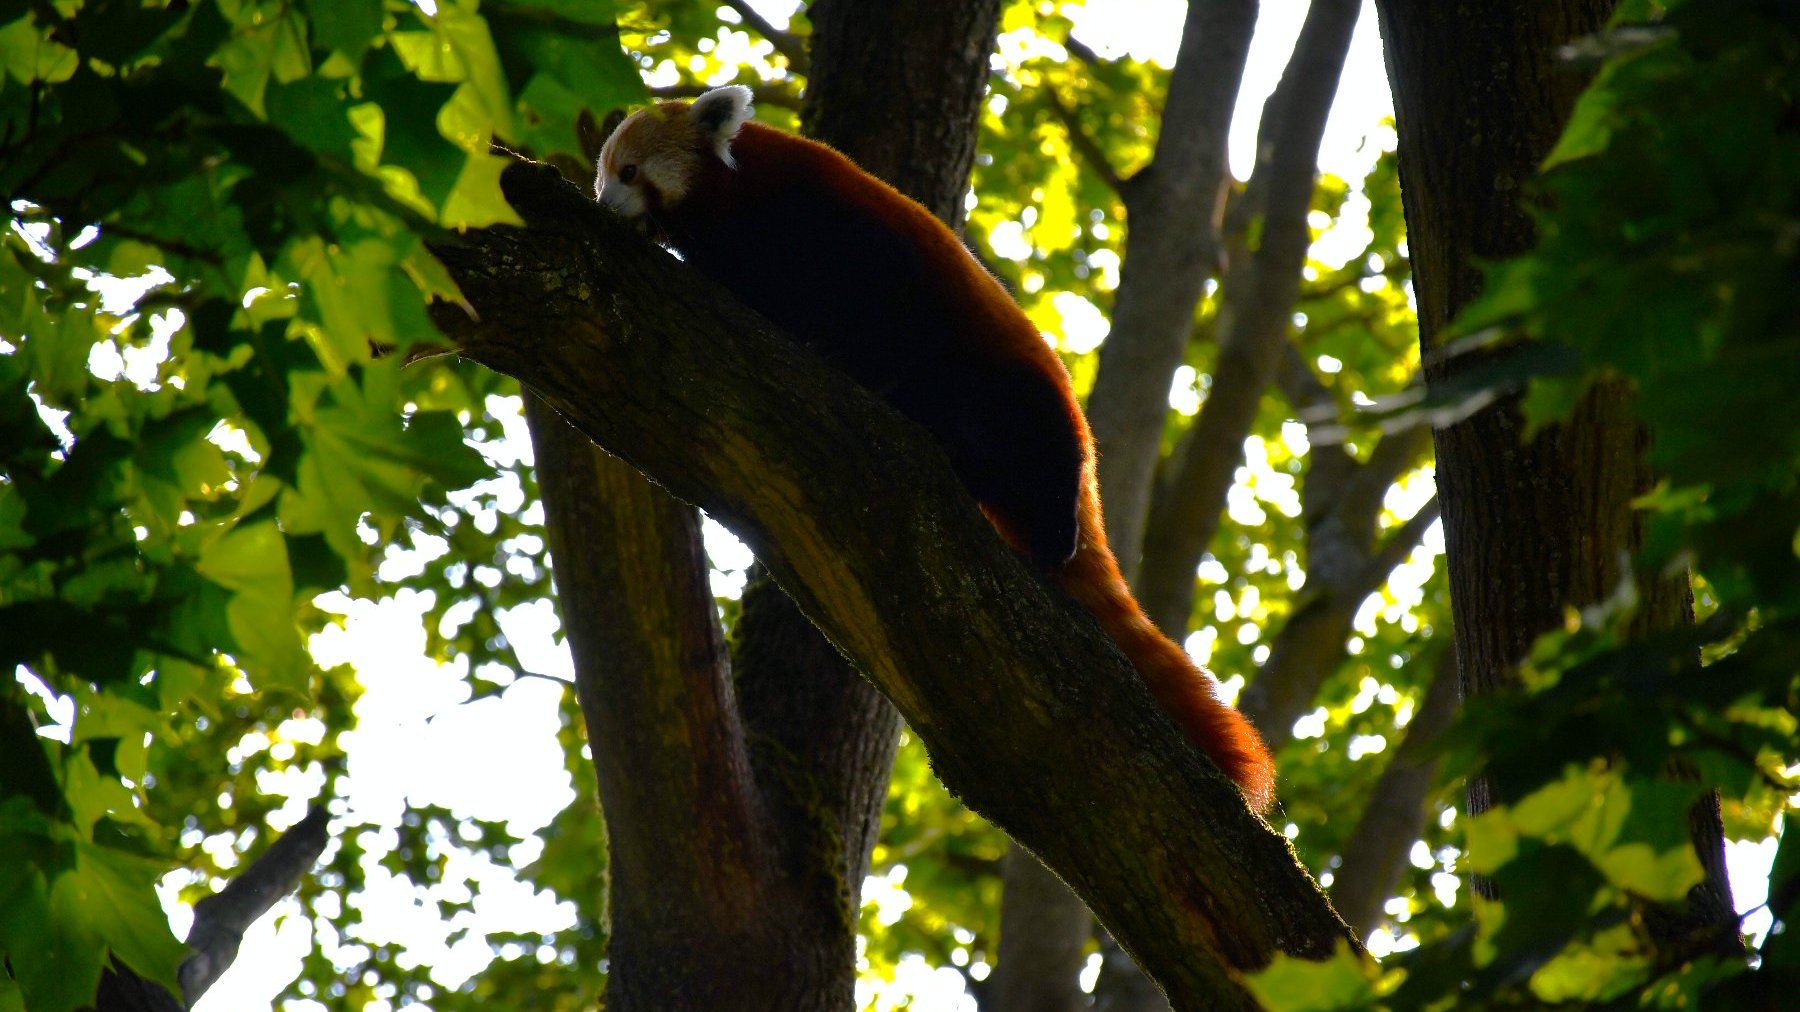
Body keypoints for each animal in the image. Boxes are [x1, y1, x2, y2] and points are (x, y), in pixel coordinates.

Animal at [597, 88, 1274, 810]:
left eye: (630, 173)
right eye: (605, 175)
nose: (606, 205)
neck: (732, 196)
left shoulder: (832, 225)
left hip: (1017, 390)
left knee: (1041, 448)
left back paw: (1053, 535)